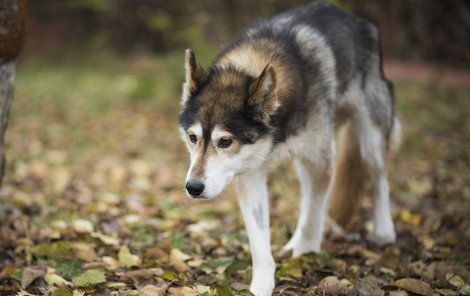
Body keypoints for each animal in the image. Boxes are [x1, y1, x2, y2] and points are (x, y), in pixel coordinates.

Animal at [178, 1, 398, 294]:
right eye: (193, 138)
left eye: (225, 142)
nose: (193, 188)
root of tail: (359, 21)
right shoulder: (251, 174)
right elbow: (260, 243)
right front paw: (261, 285)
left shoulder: (320, 160)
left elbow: (314, 216)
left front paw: (306, 253)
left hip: (367, 137)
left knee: (379, 179)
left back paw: (384, 231)